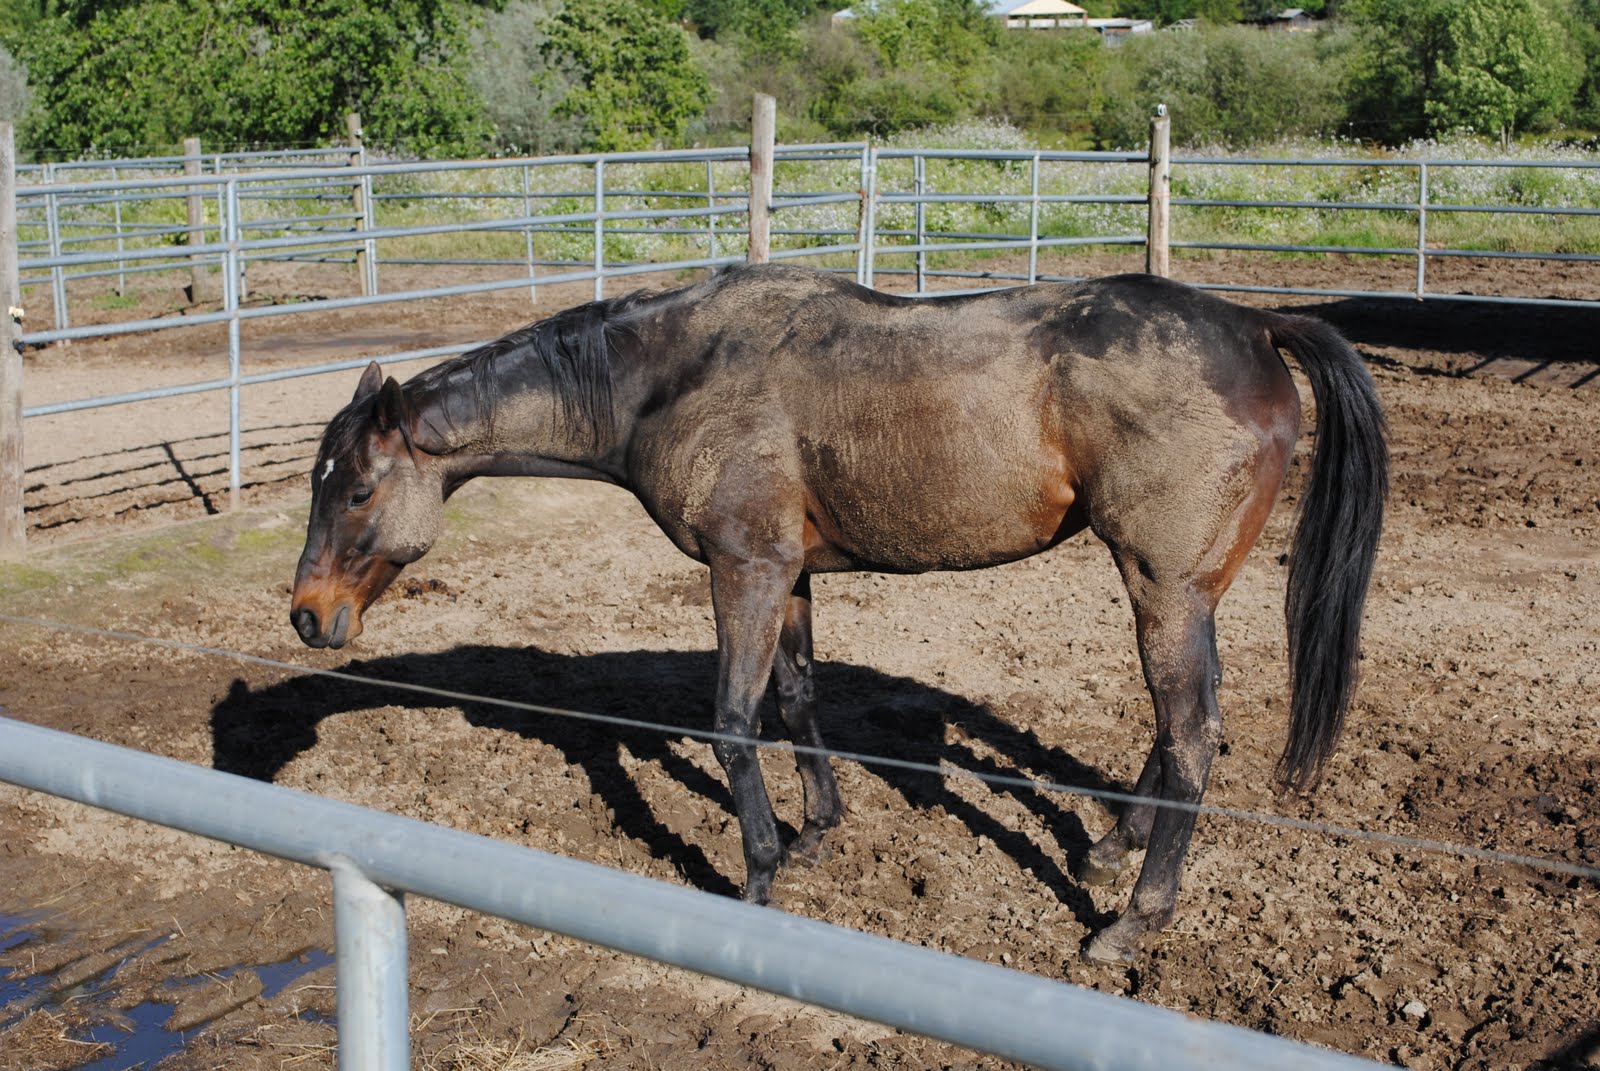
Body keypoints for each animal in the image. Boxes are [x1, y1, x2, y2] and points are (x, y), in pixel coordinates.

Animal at [290, 262, 1387, 964]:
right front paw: (818, 825)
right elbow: (797, 700)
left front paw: (761, 873)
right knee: (1179, 729)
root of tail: (1254, 327)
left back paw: (1128, 922)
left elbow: (733, 723)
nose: (306, 614)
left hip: (1164, 587)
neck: (665, 376)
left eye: (356, 490)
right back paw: (1112, 843)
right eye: (319, 482)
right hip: (1180, 590)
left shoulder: (744, 569)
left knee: (1193, 733)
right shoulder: (792, 573)